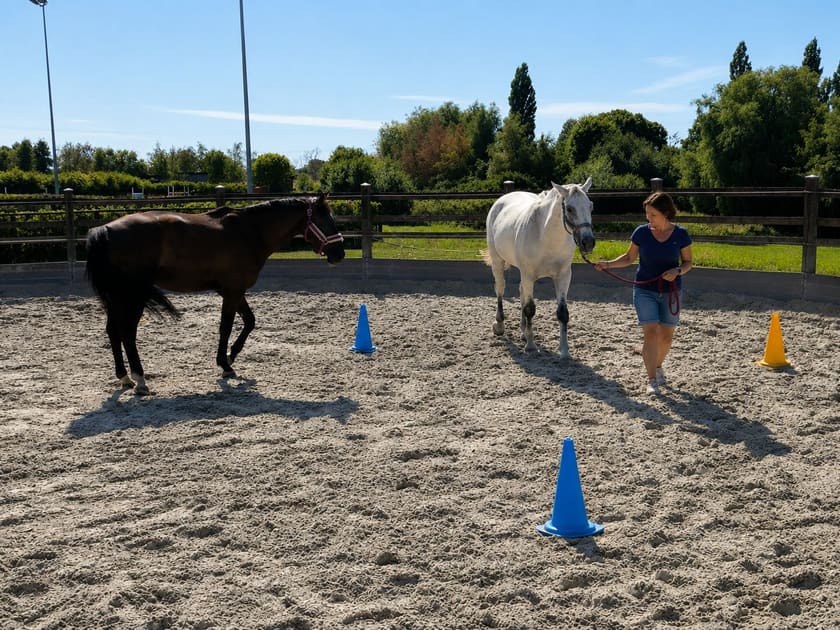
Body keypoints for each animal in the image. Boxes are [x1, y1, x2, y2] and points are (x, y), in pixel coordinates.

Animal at [85, 195, 345, 395]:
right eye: (324, 220)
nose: (339, 254)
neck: (250, 232)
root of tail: (105, 230)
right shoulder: (232, 291)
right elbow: (226, 327)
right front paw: (225, 365)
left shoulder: (233, 290)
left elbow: (249, 321)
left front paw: (230, 357)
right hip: (132, 295)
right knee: (127, 333)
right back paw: (140, 379)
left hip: (117, 296)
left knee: (113, 331)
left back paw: (124, 377)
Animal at [484, 178, 595, 356]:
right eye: (570, 209)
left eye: (590, 206)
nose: (588, 242)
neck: (546, 238)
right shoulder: (528, 275)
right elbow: (530, 309)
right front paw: (531, 346)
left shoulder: (563, 276)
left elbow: (562, 313)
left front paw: (564, 351)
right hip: (498, 262)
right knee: (500, 289)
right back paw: (500, 325)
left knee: (521, 291)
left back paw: (523, 331)